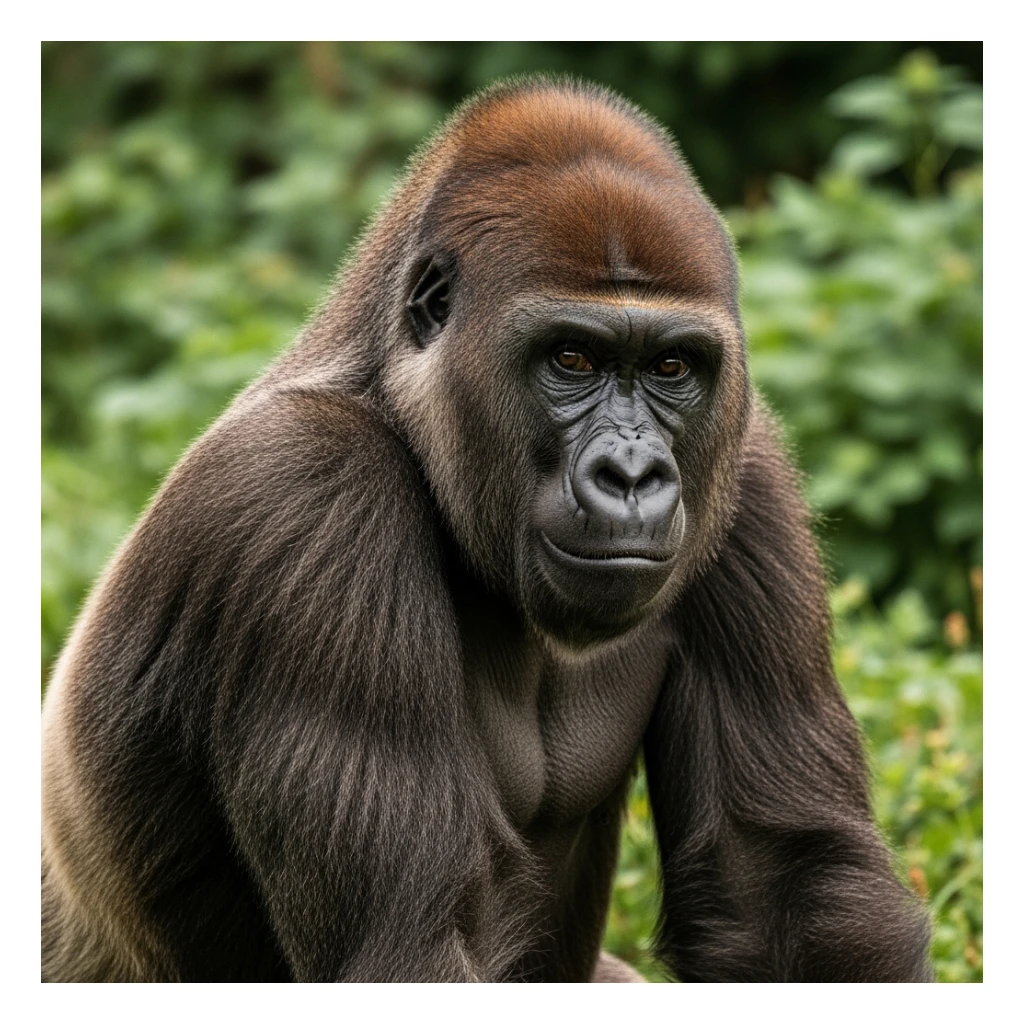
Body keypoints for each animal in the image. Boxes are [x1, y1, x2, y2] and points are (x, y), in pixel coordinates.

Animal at [41, 77, 933, 982]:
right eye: (571, 359)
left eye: (672, 367)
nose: (634, 475)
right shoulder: (305, 491)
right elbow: (412, 944)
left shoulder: (750, 476)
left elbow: (783, 892)